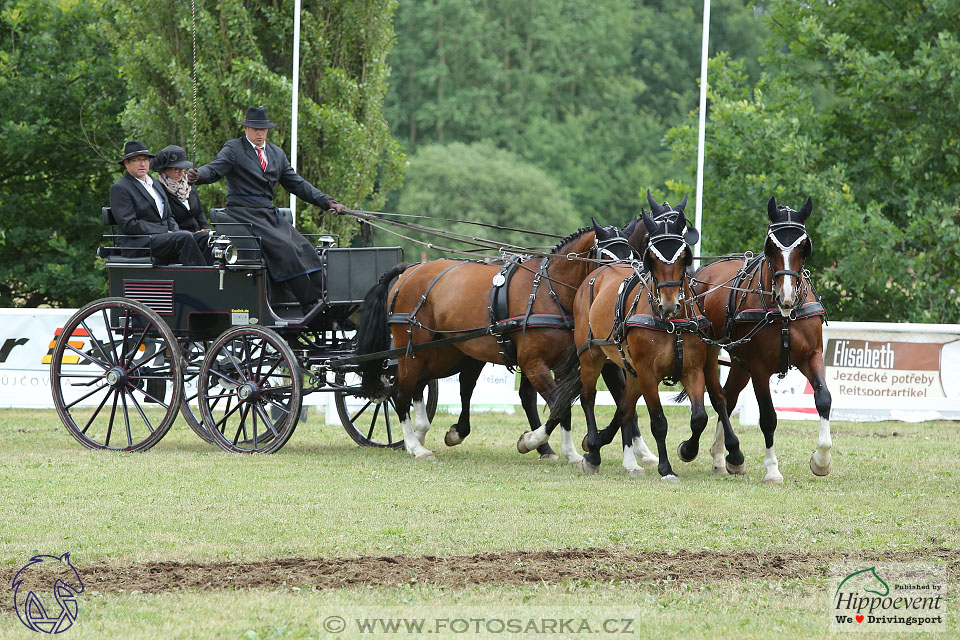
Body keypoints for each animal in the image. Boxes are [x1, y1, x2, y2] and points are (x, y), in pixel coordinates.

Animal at [356, 220, 640, 460]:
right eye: (606, 257)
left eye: (632, 257)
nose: (622, 288)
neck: (550, 291)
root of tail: (411, 270)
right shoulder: (533, 363)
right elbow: (559, 408)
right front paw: (531, 441)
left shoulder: (562, 366)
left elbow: (562, 407)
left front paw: (570, 453)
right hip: (411, 350)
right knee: (401, 393)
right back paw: (416, 447)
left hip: (440, 352)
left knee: (421, 386)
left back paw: (422, 434)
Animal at [568, 205, 748, 480]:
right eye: (651, 258)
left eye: (684, 256)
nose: (669, 304)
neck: (671, 322)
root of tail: (597, 273)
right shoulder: (647, 372)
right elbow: (659, 421)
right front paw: (666, 468)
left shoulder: (692, 369)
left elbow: (699, 416)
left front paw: (687, 450)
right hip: (592, 356)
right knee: (588, 398)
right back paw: (594, 448)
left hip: (633, 369)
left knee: (625, 408)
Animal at [688, 198, 832, 482]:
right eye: (771, 247)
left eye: (804, 247)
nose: (786, 297)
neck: (783, 315)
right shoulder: (759, 368)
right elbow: (768, 417)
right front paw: (772, 469)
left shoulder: (812, 356)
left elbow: (823, 399)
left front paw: (821, 460)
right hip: (715, 355)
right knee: (718, 397)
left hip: (739, 363)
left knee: (729, 397)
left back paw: (722, 457)